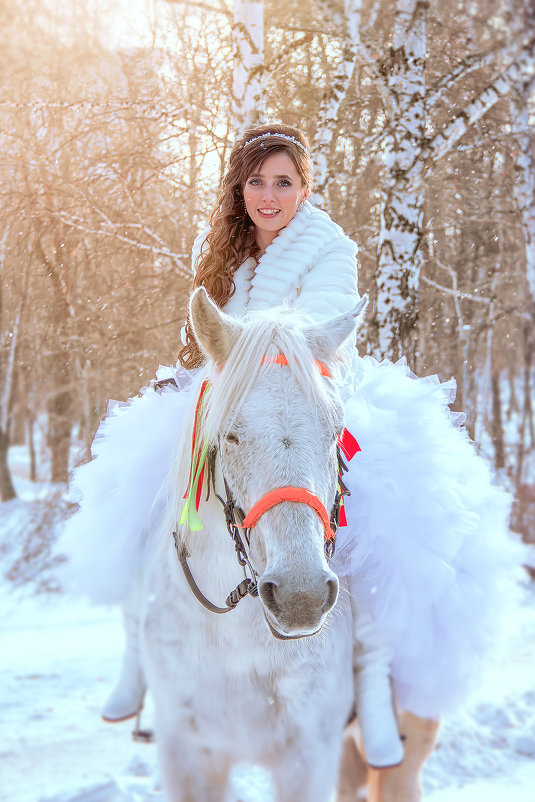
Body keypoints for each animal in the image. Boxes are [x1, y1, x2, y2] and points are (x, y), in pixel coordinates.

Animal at [141, 288, 368, 800]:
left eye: (334, 431)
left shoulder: (309, 758)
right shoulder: (187, 758)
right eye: (230, 434)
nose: (301, 596)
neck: (237, 643)